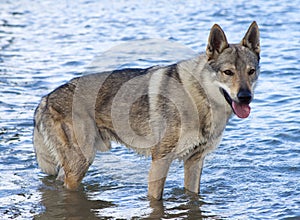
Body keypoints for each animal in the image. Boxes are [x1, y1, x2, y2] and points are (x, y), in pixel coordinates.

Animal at [32, 21, 258, 200]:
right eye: (228, 72)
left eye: (251, 71)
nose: (245, 97)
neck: (197, 98)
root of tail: (45, 99)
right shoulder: (160, 160)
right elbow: (155, 199)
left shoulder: (194, 161)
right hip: (81, 163)